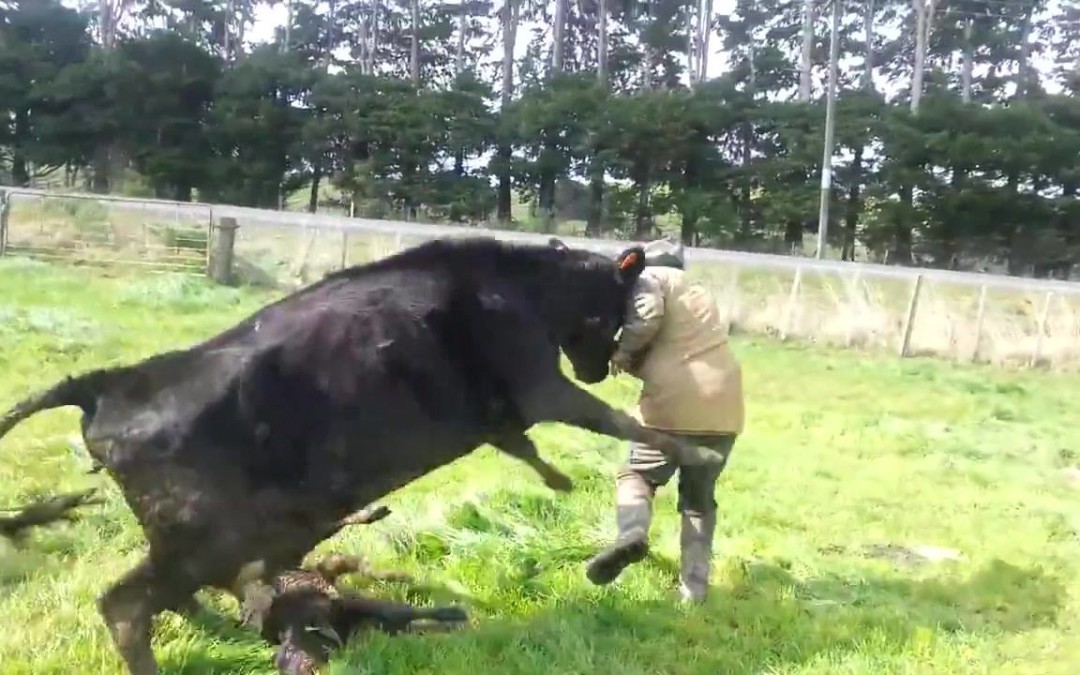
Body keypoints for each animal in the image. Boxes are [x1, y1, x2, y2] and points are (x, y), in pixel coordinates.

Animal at [2, 234, 725, 669]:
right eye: (620, 311)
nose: (604, 368)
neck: (524, 287)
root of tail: (105, 385)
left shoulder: (510, 413)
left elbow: (530, 446)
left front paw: (558, 480)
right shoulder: (538, 382)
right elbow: (621, 423)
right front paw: (698, 456)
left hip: (232, 538)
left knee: (186, 595)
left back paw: (229, 627)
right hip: (201, 535)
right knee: (127, 604)